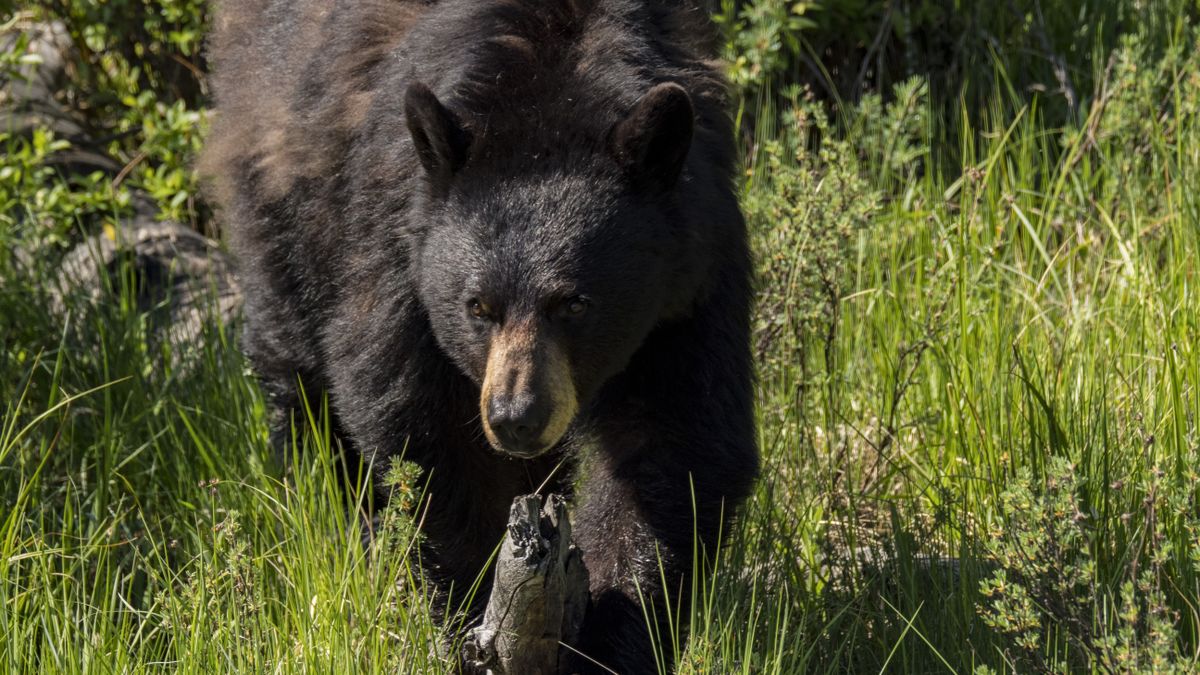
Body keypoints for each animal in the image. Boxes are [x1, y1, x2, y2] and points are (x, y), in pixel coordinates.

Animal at [201, 1, 753, 667]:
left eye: (575, 303)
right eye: (477, 307)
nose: (516, 417)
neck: (549, 82)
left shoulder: (690, 281)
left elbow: (677, 440)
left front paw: (614, 635)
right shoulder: (395, 247)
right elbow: (425, 434)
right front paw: (467, 616)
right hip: (283, 198)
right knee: (298, 372)